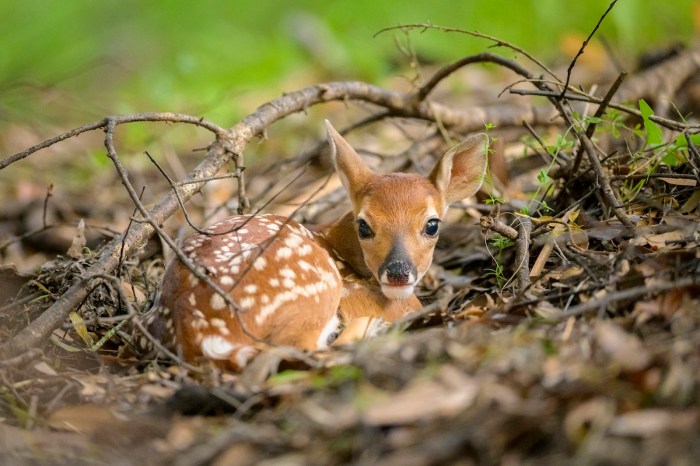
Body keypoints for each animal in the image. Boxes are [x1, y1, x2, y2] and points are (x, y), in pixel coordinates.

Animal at [134, 121, 487, 370]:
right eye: (364, 225)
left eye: (432, 224)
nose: (398, 272)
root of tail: (199, 336)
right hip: (315, 287)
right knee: (303, 349)